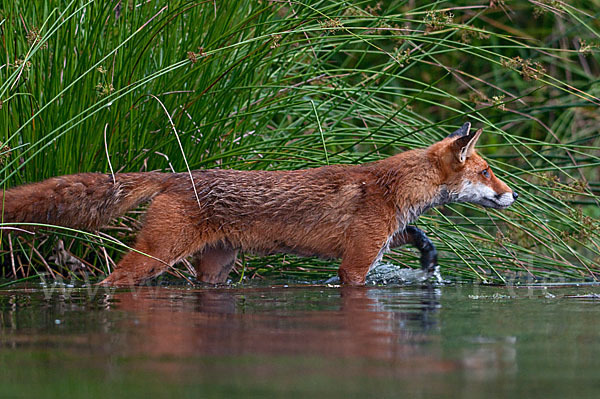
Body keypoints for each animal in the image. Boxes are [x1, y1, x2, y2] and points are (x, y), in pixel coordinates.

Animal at [0, 123, 516, 286]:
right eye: (487, 171)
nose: (514, 194)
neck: (394, 188)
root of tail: (176, 175)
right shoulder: (354, 265)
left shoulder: (382, 237)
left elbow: (416, 237)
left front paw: (428, 254)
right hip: (155, 256)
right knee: (114, 281)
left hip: (216, 268)